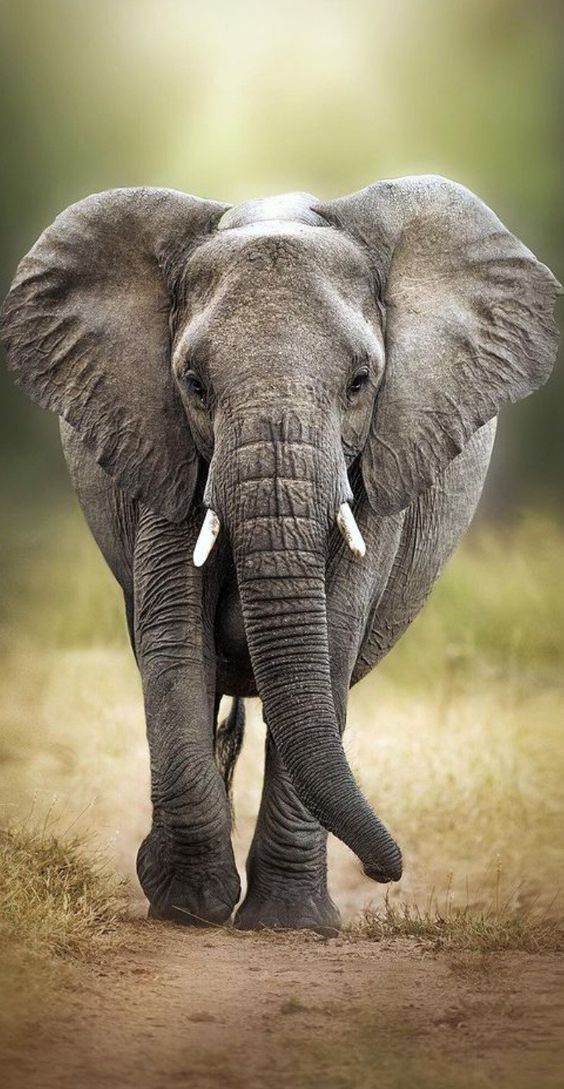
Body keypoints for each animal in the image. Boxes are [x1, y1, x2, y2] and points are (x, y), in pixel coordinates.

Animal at [1, 174, 561, 932]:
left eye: (360, 382)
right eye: (194, 384)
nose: (388, 870)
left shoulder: (380, 457)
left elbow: (332, 638)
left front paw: (288, 924)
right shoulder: (161, 443)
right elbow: (176, 642)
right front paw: (189, 907)